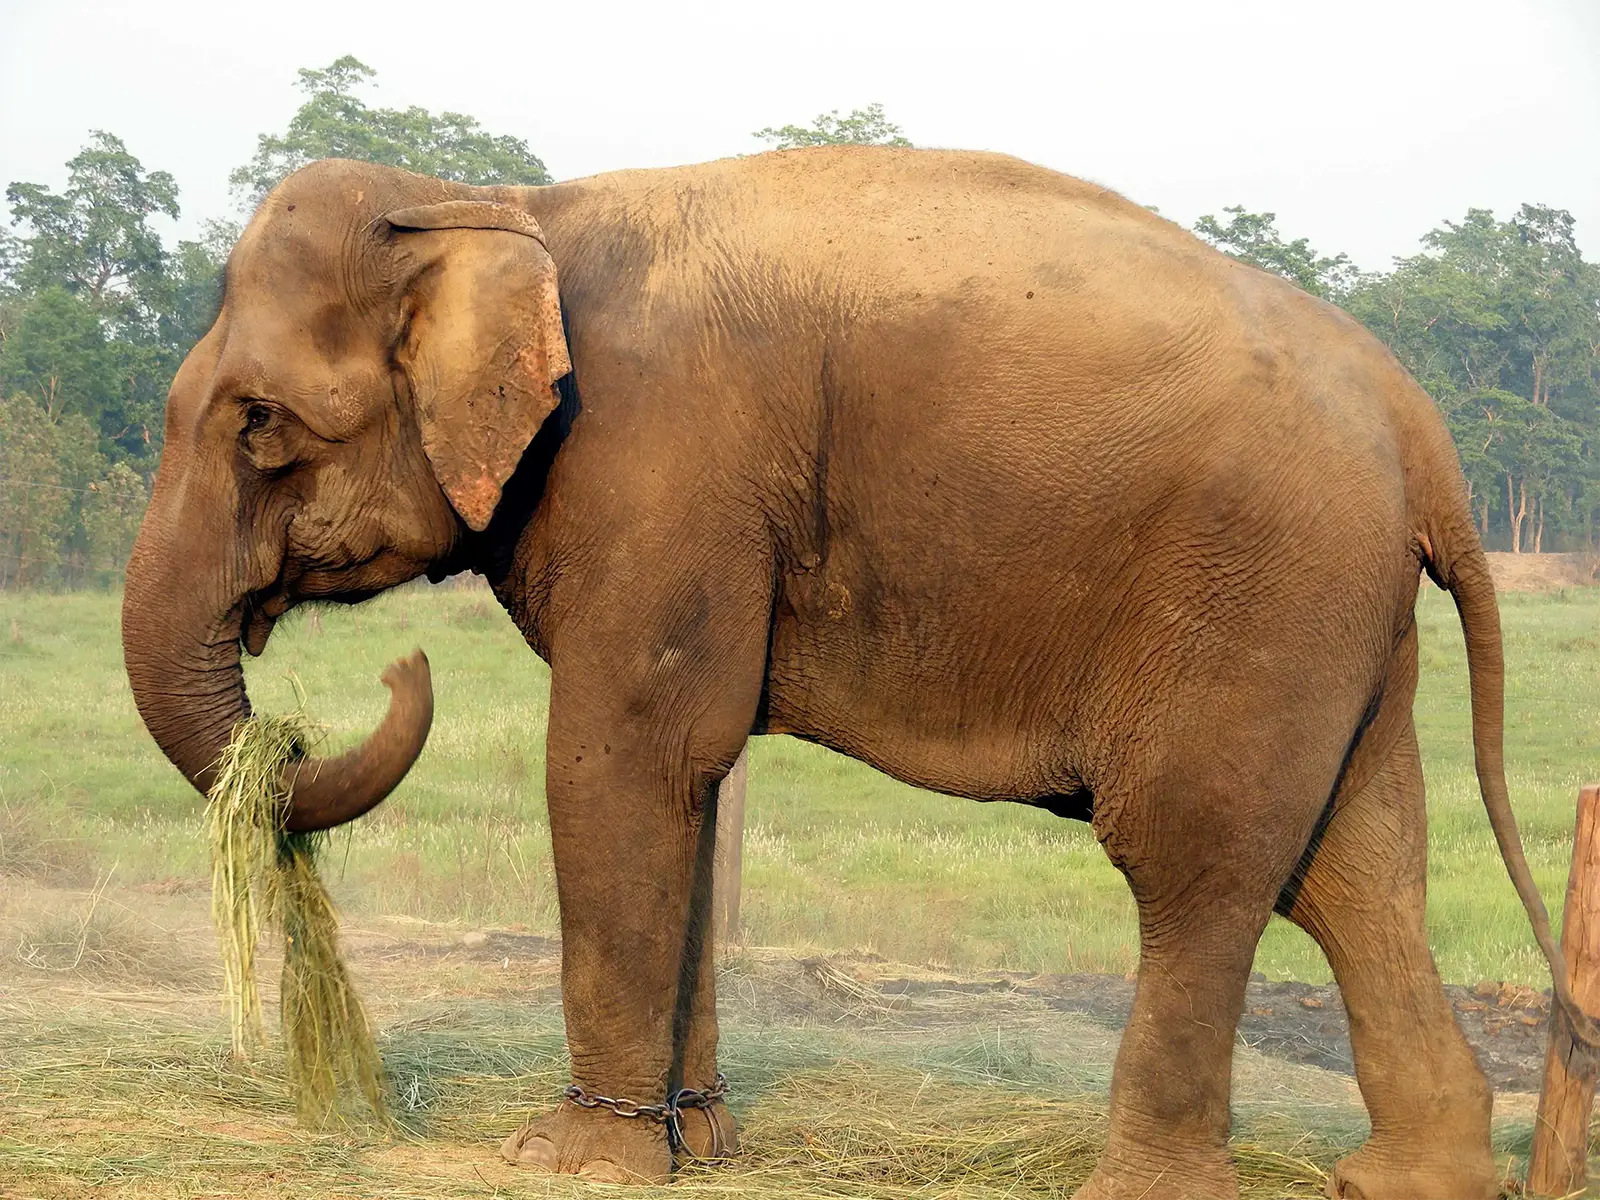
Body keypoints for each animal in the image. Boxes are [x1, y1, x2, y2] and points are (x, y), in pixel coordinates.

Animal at [121, 145, 1590, 1200]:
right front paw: (695, 1149)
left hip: (1258, 586)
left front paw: (571, 1162)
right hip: (1343, 614)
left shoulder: (661, 463)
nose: (391, 669)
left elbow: (625, 754)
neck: (498, 208)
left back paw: (1140, 1188)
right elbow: (694, 775)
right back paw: (1403, 1181)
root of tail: (1421, 425)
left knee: (1199, 860)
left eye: (260, 426)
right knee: (1354, 863)